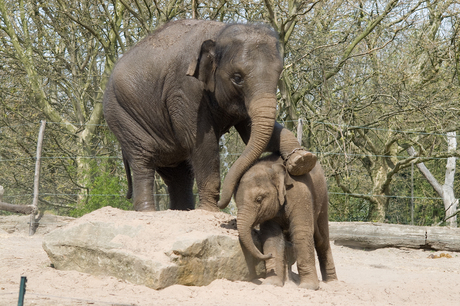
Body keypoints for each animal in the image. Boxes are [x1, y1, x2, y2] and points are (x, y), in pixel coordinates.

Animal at [103, 17, 316, 212]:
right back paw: (148, 212)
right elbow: (202, 142)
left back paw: (182, 211)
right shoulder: (185, 91)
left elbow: (252, 132)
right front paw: (209, 211)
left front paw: (303, 160)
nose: (226, 203)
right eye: (237, 78)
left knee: (178, 174)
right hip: (122, 115)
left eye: (279, 74)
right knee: (143, 161)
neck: (220, 33)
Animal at [235, 153, 336, 290]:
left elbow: (301, 232)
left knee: (322, 239)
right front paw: (271, 283)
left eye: (259, 199)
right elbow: (272, 236)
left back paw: (331, 281)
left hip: (323, 198)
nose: (269, 255)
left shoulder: (300, 193)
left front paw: (308, 287)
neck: (271, 168)